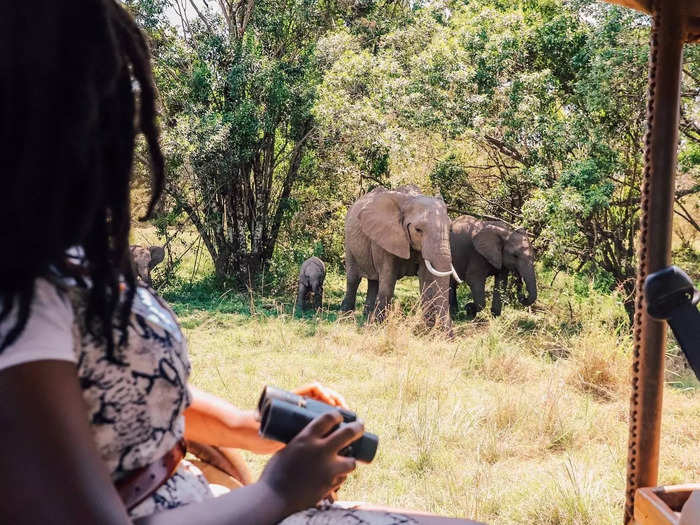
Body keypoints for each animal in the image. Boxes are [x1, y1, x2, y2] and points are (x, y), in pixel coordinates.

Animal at [338, 186, 460, 330]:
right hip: (349, 241)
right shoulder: (385, 237)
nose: (449, 334)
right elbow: (388, 279)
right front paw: (379, 326)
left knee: (374, 281)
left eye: (450, 229)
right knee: (353, 279)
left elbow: (427, 280)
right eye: (418, 230)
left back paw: (367, 317)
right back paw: (345, 317)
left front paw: (425, 330)